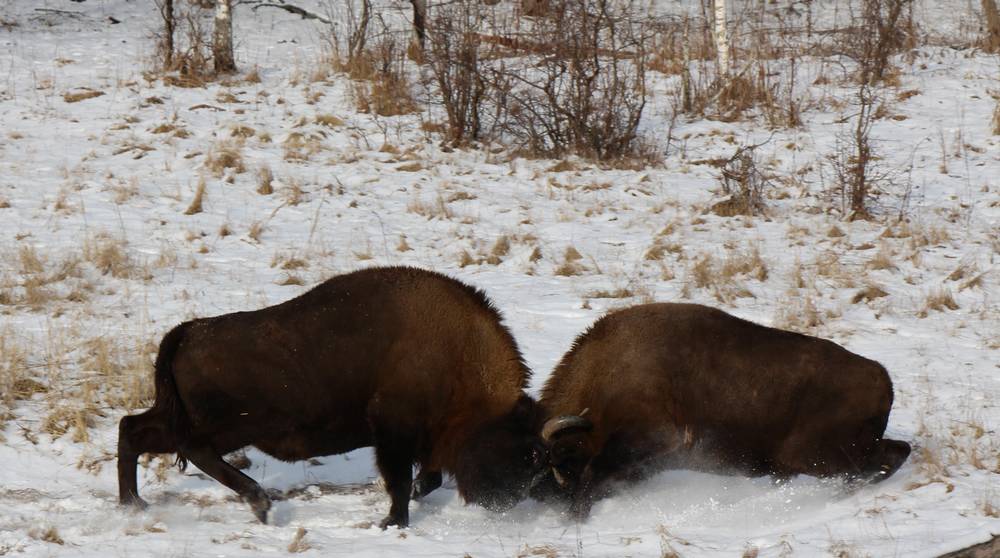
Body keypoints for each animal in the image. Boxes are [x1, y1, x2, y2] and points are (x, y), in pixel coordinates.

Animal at [121, 266, 552, 528]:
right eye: (518, 449)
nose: (506, 502)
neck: (457, 354)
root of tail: (187, 332)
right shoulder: (393, 431)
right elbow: (399, 480)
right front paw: (393, 521)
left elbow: (424, 478)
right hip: (227, 428)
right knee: (189, 449)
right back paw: (259, 503)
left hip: (182, 418)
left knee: (133, 428)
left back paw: (133, 503)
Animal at [536, 304, 912, 520]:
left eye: (562, 462)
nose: (556, 503)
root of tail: (884, 379)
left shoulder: (654, 435)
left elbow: (596, 470)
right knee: (895, 453)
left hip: (817, 456)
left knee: (885, 457)